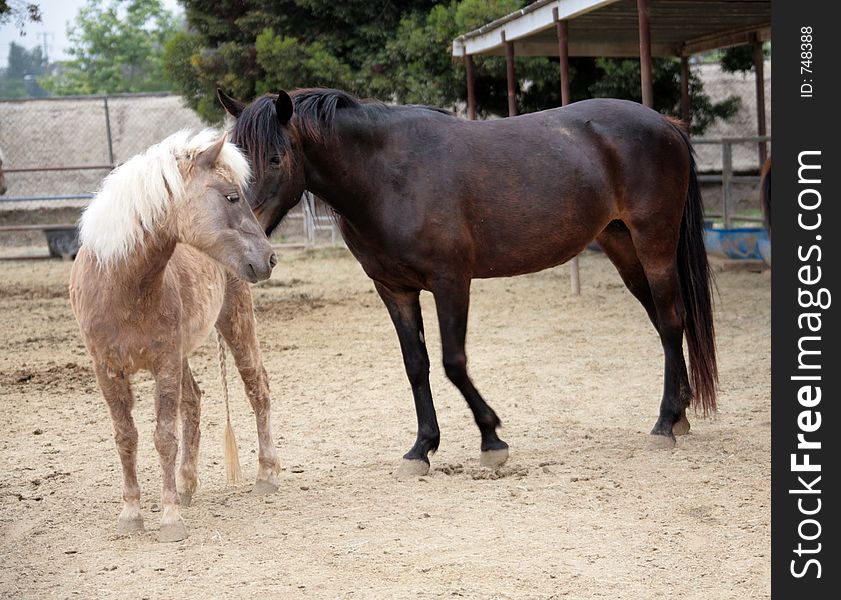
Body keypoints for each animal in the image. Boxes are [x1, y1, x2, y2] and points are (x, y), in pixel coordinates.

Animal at [70, 130, 280, 544]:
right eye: (231, 196)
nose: (269, 258)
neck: (121, 287)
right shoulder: (108, 370)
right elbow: (126, 437)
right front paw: (131, 514)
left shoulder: (164, 363)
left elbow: (164, 437)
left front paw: (169, 519)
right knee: (194, 401)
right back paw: (186, 485)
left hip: (236, 324)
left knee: (257, 389)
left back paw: (265, 474)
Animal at [218, 88, 716, 474]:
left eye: (276, 159)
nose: (248, 250)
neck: (388, 175)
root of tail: (666, 123)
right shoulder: (394, 289)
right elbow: (416, 365)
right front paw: (421, 448)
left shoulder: (451, 282)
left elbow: (453, 362)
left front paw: (491, 439)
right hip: (622, 248)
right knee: (667, 321)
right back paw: (680, 414)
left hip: (653, 244)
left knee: (670, 322)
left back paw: (663, 424)